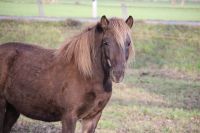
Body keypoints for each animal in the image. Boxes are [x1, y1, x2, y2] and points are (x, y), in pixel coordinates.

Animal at [0, 15, 134, 133]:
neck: (87, 76)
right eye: (106, 42)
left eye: (128, 43)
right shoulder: (69, 118)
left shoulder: (92, 118)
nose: (118, 74)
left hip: (13, 108)